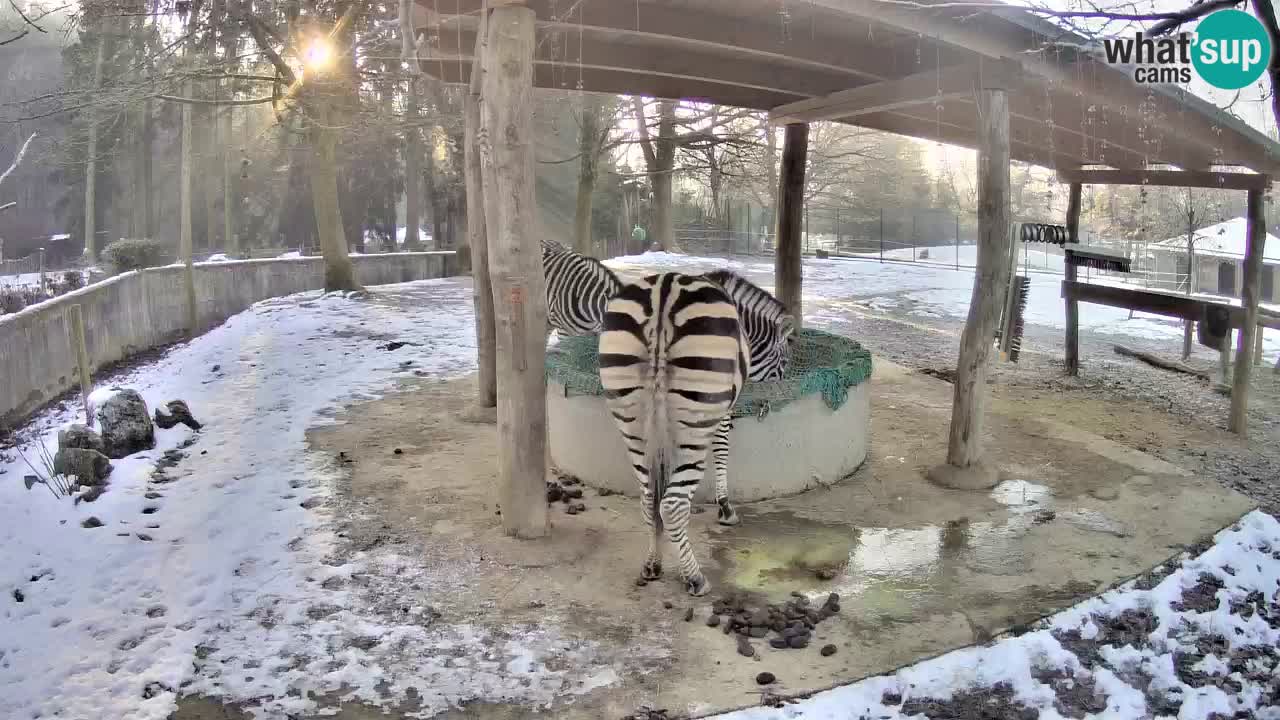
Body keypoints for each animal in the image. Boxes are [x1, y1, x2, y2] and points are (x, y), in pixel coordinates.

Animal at [599, 270, 747, 594]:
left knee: (647, 498)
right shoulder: (722, 410)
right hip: (694, 419)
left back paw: (653, 564)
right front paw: (725, 508)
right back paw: (695, 577)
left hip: (631, 419)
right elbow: (722, 447)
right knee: (673, 504)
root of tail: (663, 292)